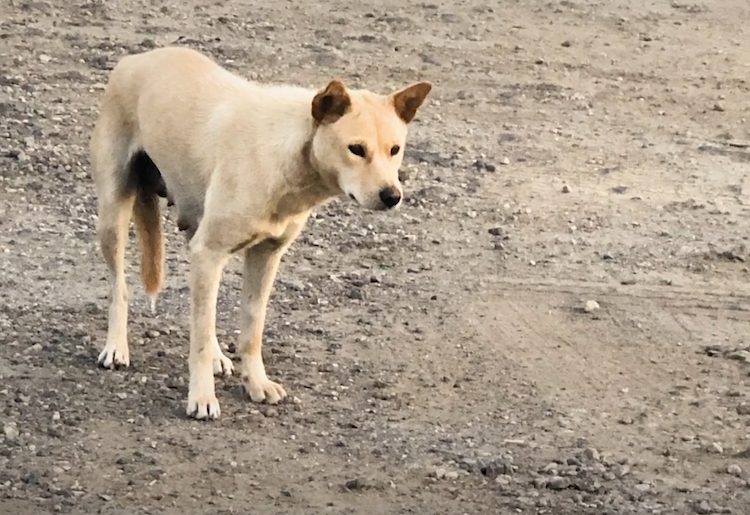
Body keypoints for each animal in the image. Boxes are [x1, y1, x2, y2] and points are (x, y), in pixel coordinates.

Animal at [89, 46, 432, 422]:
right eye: (356, 149)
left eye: (395, 150)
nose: (392, 196)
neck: (286, 156)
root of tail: (137, 57)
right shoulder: (209, 253)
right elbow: (198, 341)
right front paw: (202, 397)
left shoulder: (264, 256)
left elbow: (251, 329)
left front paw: (255, 383)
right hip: (114, 218)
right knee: (120, 288)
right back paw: (116, 347)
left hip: (195, 230)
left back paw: (218, 356)